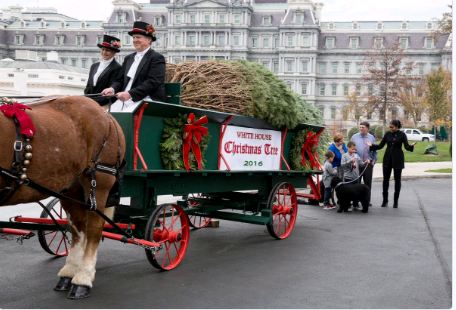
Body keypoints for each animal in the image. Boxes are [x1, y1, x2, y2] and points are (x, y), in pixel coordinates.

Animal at [0, 95, 125, 300]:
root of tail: (107, 115)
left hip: (99, 181)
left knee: (93, 229)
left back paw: (83, 278)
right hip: (69, 188)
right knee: (78, 228)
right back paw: (69, 273)